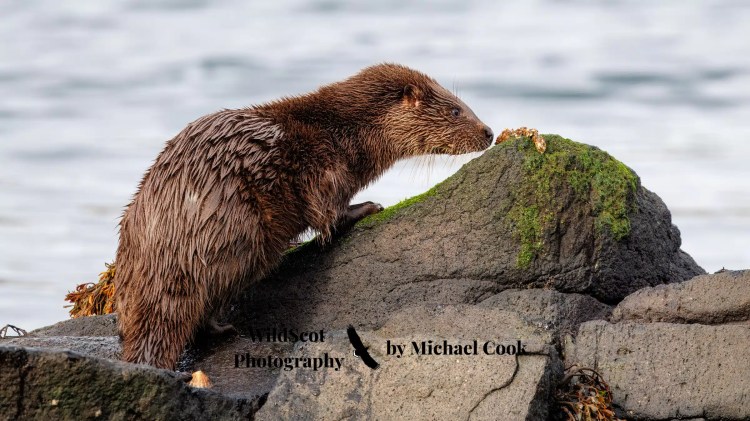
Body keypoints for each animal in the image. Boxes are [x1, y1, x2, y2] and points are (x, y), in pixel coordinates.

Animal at [116, 63, 493, 369]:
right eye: (456, 110)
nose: (489, 132)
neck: (345, 132)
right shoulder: (324, 168)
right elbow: (328, 215)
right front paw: (369, 207)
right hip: (238, 234)